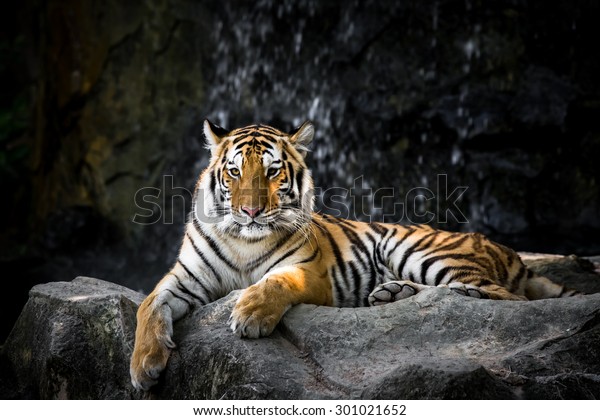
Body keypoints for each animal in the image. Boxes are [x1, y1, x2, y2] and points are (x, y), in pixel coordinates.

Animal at [129, 118, 580, 390]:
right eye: (235, 172)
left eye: (273, 171)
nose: (251, 211)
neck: (244, 239)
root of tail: (509, 250)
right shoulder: (186, 277)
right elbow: (149, 306)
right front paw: (143, 365)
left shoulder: (307, 272)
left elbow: (274, 282)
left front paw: (251, 315)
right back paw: (392, 293)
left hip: (419, 250)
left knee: (506, 297)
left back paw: (460, 294)